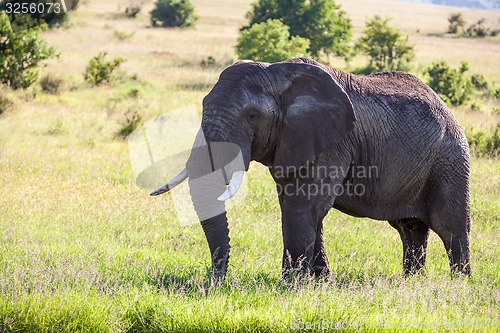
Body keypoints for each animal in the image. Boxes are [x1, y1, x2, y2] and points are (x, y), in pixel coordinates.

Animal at [150, 57, 470, 278]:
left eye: (252, 115)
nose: (216, 279)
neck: (278, 74)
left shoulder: (331, 142)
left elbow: (301, 205)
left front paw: (290, 284)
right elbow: (301, 208)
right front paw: (319, 281)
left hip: (450, 161)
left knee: (450, 227)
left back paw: (459, 284)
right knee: (410, 228)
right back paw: (411, 282)